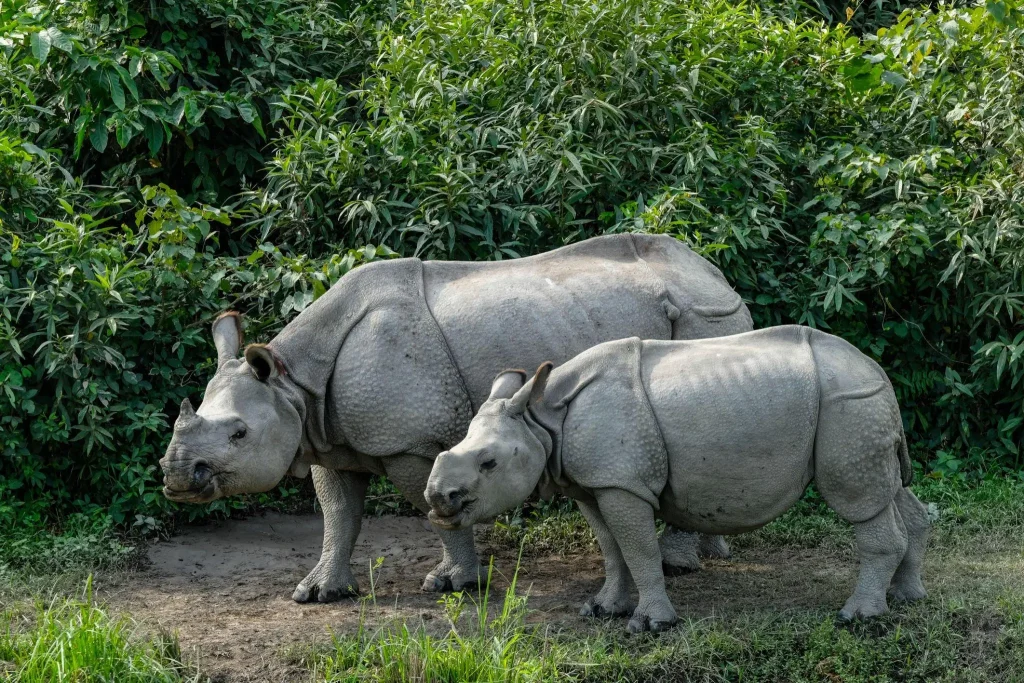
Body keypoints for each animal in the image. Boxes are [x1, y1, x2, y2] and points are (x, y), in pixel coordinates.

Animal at [160, 234, 752, 601]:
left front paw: (453, 583)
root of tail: (716, 274)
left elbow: (428, 507)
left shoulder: (409, 442)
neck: (290, 383)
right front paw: (319, 592)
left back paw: (677, 564)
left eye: (238, 434)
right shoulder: (325, 435)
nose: (176, 477)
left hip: (704, 317)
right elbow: (338, 515)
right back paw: (708, 550)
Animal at [425, 326, 930, 632]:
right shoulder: (595, 481)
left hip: (849, 404)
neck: (541, 419)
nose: (437, 498)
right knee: (891, 492)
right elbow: (611, 549)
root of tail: (875, 369)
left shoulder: (621, 482)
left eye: (489, 464)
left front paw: (652, 625)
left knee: (860, 502)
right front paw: (602, 609)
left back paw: (858, 617)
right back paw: (906, 598)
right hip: (861, 406)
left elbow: (638, 548)